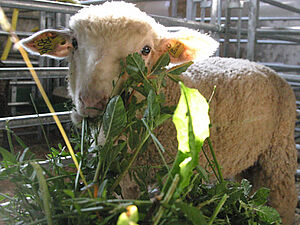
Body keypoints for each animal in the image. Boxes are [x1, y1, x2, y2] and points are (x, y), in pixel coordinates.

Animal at [20, 1, 298, 223]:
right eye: (75, 43)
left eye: (145, 50)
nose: (92, 102)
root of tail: (263, 67)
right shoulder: (125, 177)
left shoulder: (175, 174)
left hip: (279, 151)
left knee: (283, 198)